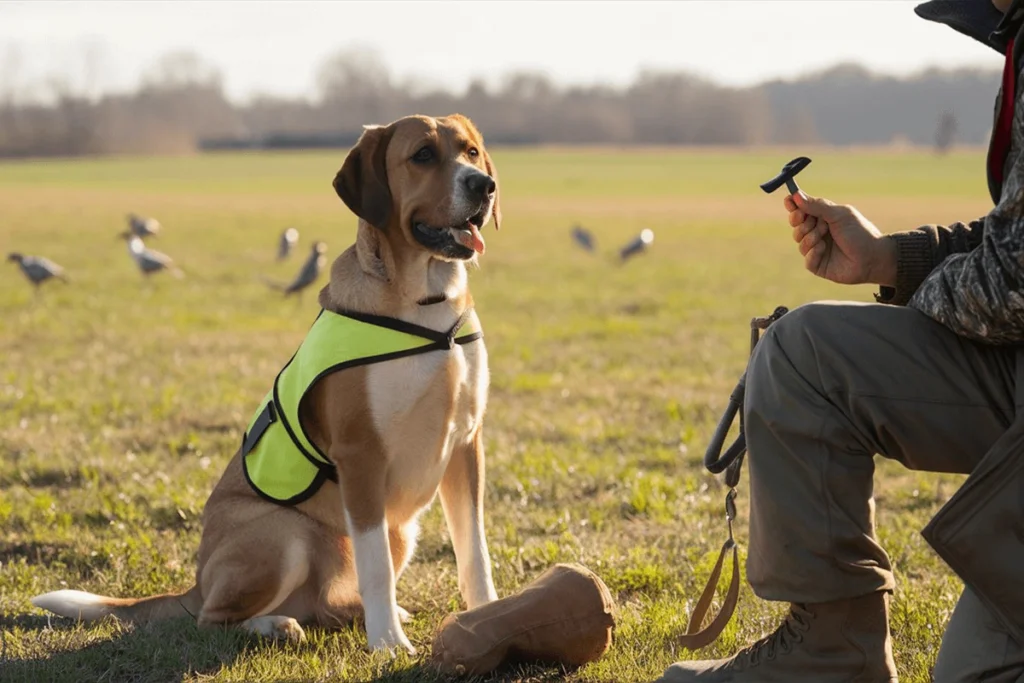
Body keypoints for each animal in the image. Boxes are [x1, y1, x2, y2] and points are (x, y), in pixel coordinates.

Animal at [35, 114, 503, 655]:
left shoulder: (466, 444)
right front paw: (388, 642)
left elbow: (474, 553)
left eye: (471, 152)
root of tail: (196, 583)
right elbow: (377, 570)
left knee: (327, 604)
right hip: (284, 534)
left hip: (399, 531)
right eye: (423, 155)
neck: (426, 308)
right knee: (214, 619)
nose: (483, 185)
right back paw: (277, 624)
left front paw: (487, 616)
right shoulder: (362, 456)